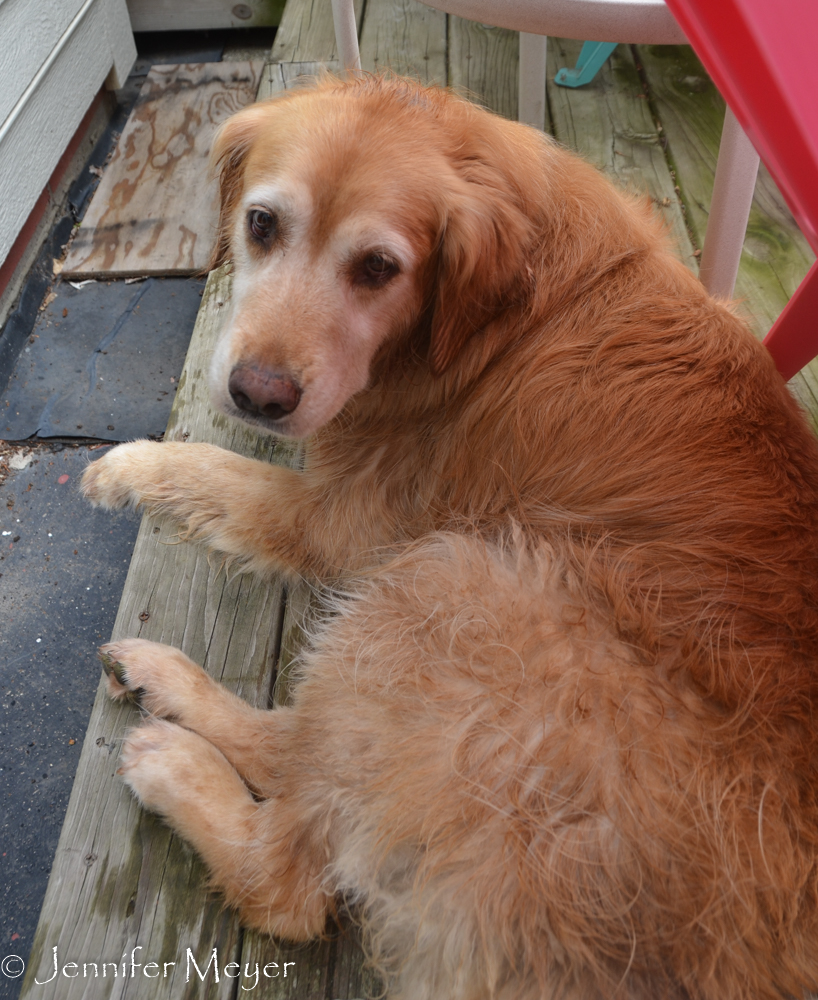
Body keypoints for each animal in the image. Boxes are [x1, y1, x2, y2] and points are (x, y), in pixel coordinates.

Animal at [83, 78, 818, 1000]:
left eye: (378, 268)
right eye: (261, 224)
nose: (258, 394)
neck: (492, 314)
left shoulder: (337, 522)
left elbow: (213, 468)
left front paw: (123, 466)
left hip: (451, 582)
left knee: (287, 877)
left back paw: (173, 759)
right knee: (304, 755)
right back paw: (161, 682)